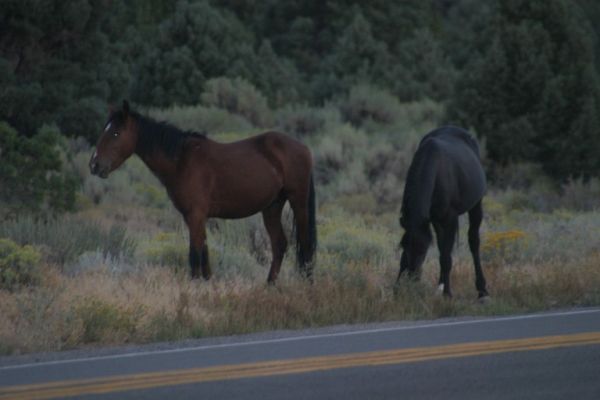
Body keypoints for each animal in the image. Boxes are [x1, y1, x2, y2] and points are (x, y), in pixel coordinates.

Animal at [89, 101, 316, 282]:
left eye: (116, 133)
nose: (94, 165)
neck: (182, 161)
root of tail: (303, 148)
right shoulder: (194, 217)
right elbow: (204, 254)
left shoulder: (196, 215)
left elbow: (195, 254)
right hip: (272, 207)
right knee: (280, 245)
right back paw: (269, 286)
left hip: (298, 202)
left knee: (305, 245)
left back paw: (307, 284)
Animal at [396, 126, 490, 298]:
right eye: (403, 246)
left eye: (423, 250)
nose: (412, 279)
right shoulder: (430, 221)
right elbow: (441, 252)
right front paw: (396, 289)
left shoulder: (449, 219)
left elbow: (446, 258)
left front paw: (447, 294)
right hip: (437, 221)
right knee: (442, 247)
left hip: (476, 206)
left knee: (473, 242)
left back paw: (482, 291)